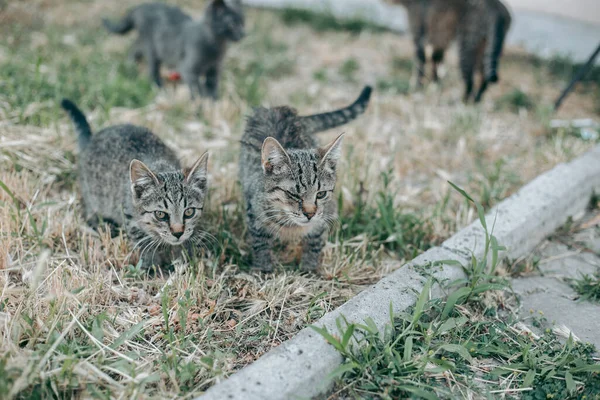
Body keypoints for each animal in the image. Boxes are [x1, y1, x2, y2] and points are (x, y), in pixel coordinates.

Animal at [61, 98, 210, 268]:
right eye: (160, 214)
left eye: (189, 212)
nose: (178, 232)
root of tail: (92, 140)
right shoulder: (129, 216)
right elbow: (142, 241)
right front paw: (151, 265)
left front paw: (186, 258)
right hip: (93, 199)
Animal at [102, 0, 244, 99]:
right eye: (232, 24)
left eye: (243, 23)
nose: (243, 33)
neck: (217, 45)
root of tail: (141, 6)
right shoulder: (188, 69)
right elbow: (196, 88)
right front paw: (199, 104)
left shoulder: (214, 70)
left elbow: (212, 87)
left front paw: (213, 103)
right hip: (151, 47)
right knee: (152, 68)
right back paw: (157, 85)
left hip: (148, 44)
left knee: (134, 46)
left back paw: (130, 64)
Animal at [238, 86, 370, 274]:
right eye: (293, 194)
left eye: (320, 194)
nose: (310, 213)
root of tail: (279, 108)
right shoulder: (253, 212)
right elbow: (260, 242)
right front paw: (264, 268)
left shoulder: (324, 214)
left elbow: (315, 240)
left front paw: (309, 268)